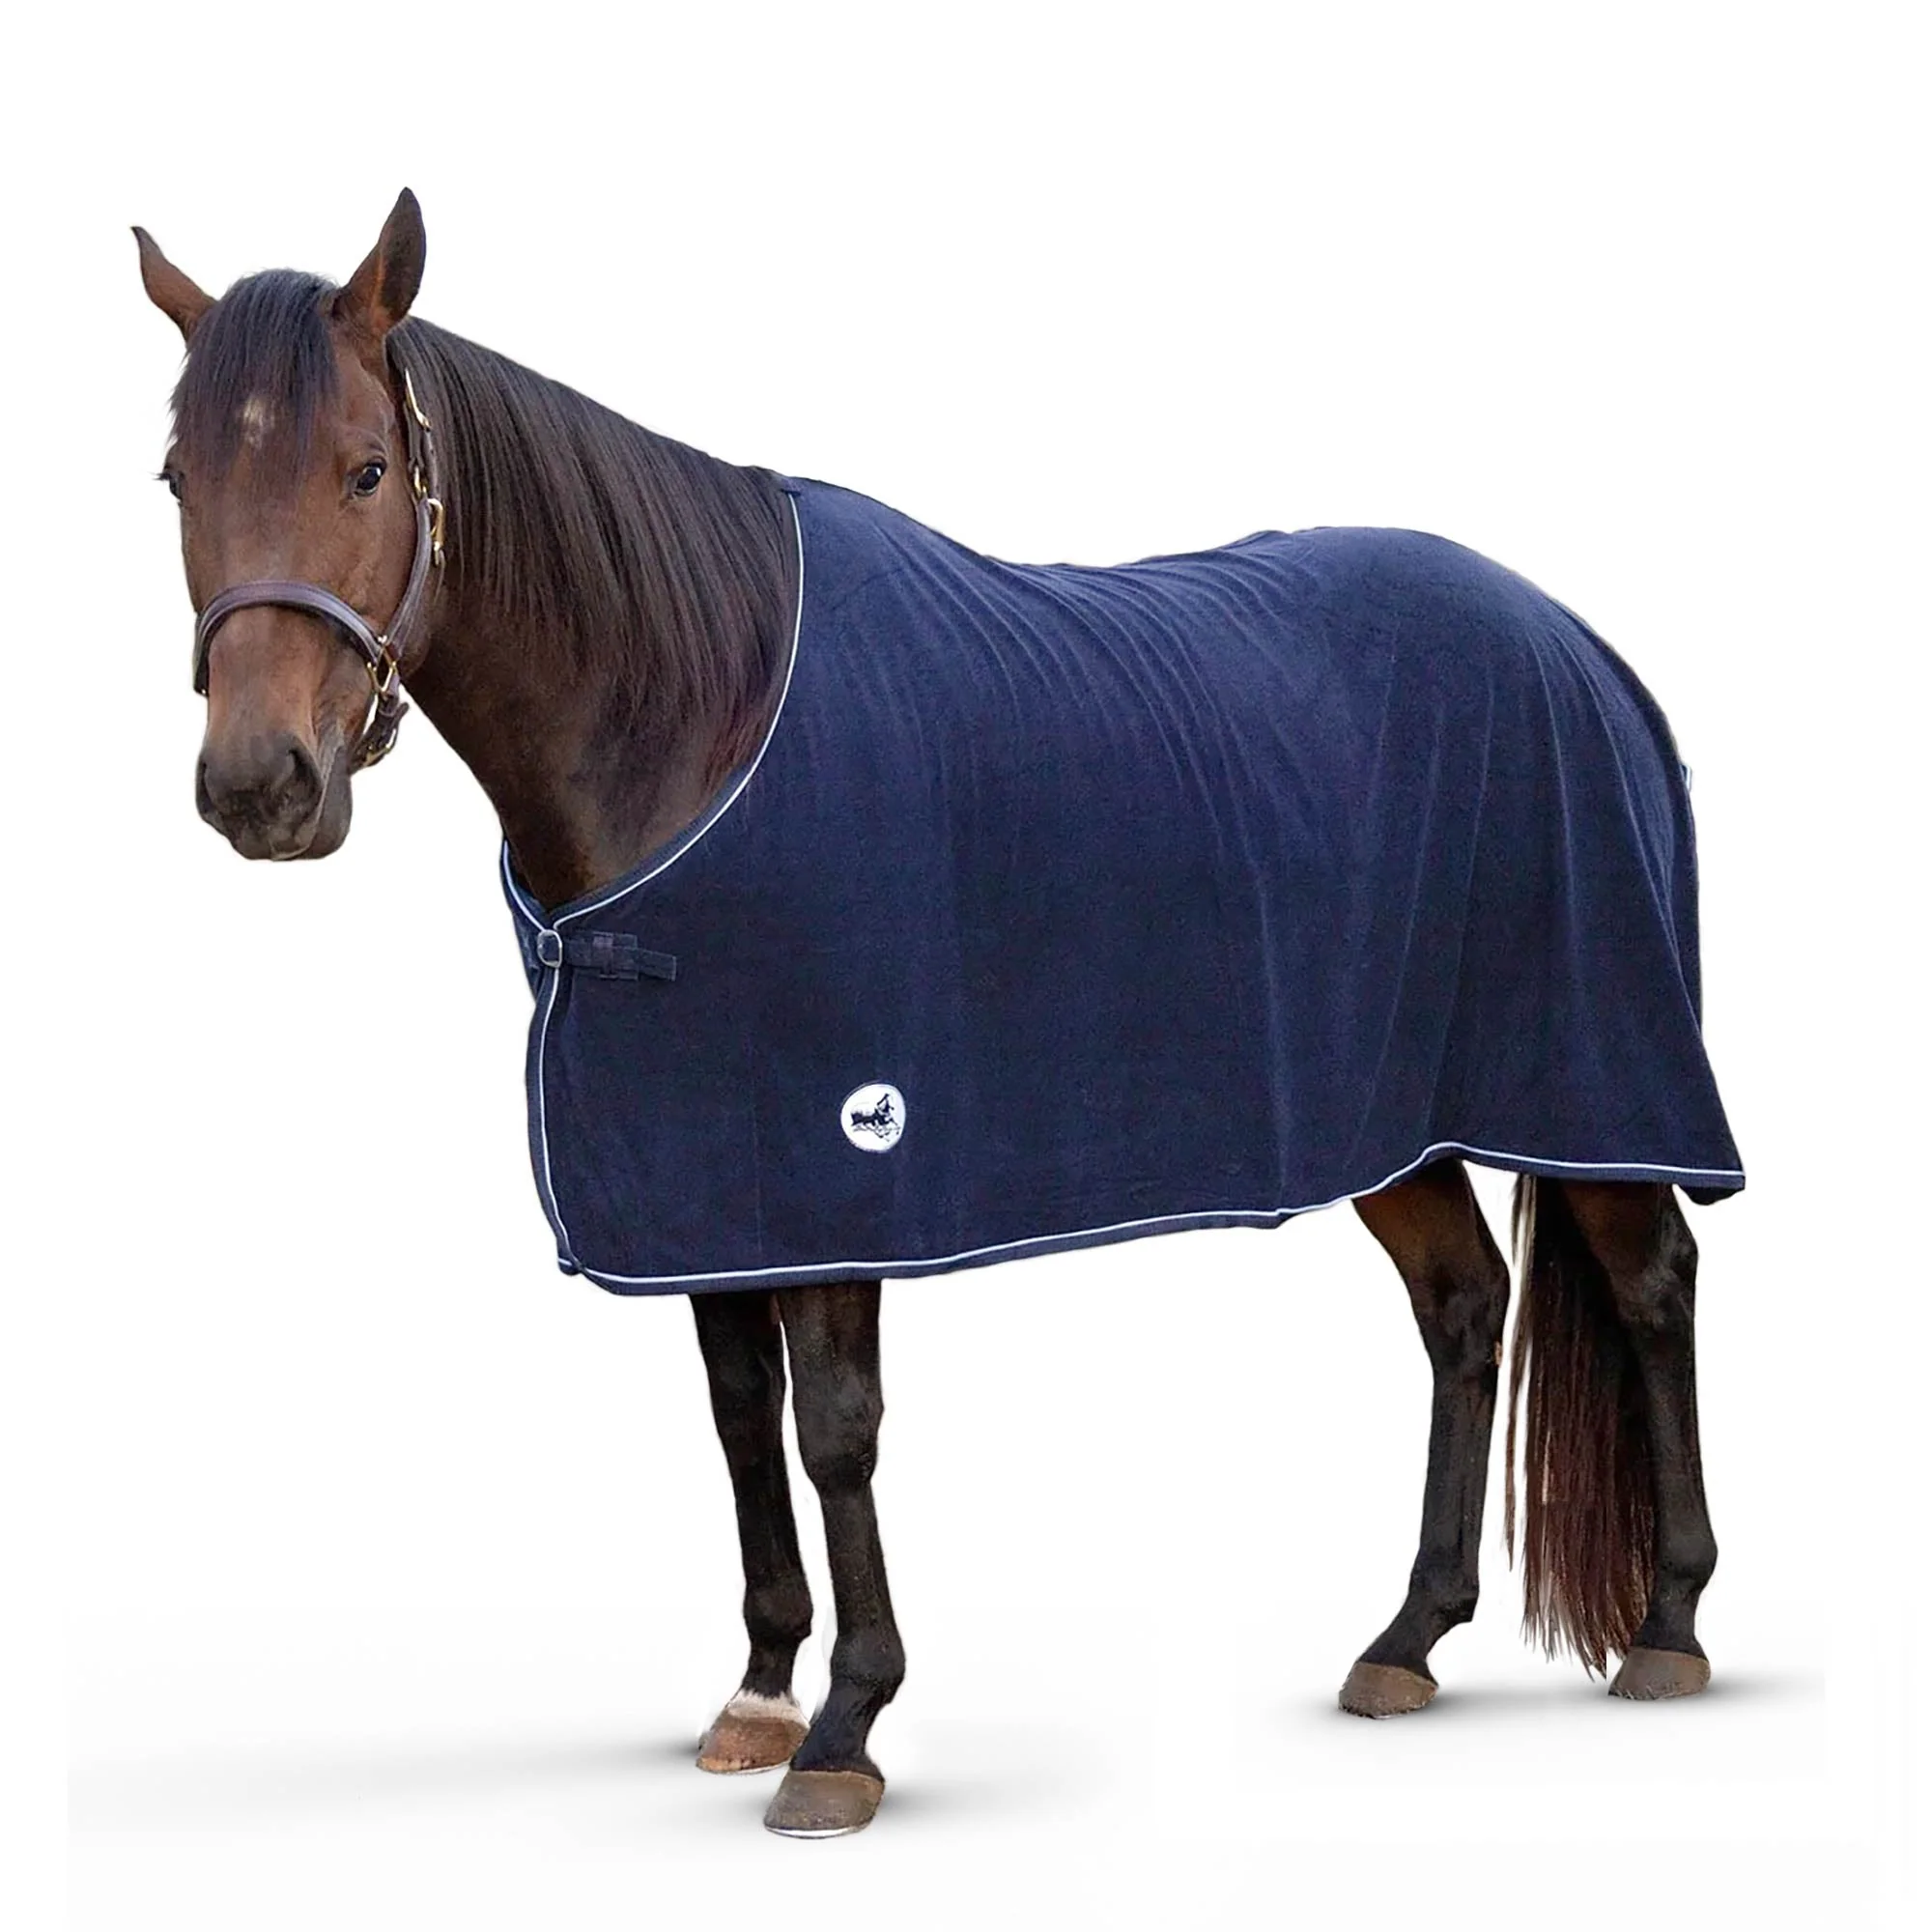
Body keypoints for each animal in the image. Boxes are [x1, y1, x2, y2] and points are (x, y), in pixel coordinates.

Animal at [136, 189, 1739, 1839]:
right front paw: (761, 1692)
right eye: (179, 477)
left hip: (1590, 1073)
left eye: (366, 467)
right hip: (1392, 1117)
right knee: (1466, 1307)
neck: (695, 717)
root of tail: (1572, 642)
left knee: (1653, 1281)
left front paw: (847, 1730)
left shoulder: (850, 1155)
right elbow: (740, 1411)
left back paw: (1671, 1623)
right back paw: (1409, 1637)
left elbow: (836, 1427)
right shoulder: (709, 1175)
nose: (261, 789)